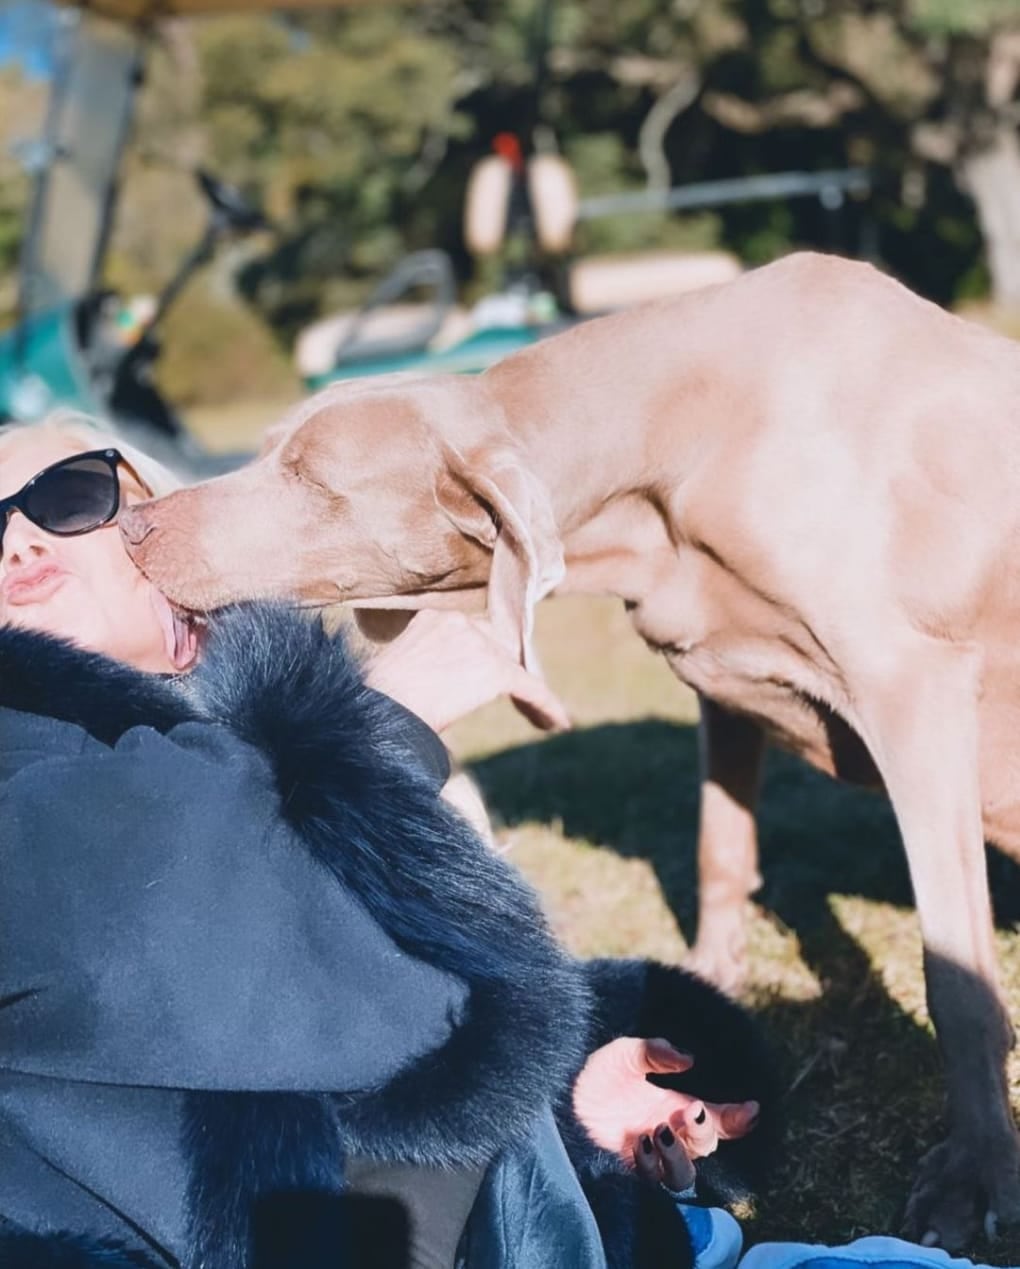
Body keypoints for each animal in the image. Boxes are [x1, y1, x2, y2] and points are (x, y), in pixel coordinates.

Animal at [123, 252, 1020, 1243]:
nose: (133, 524)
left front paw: (975, 1175)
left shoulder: (912, 687)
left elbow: (961, 980)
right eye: (268, 449)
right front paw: (705, 990)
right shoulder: (720, 685)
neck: (674, 442)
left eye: (312, 478)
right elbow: (719, 849)